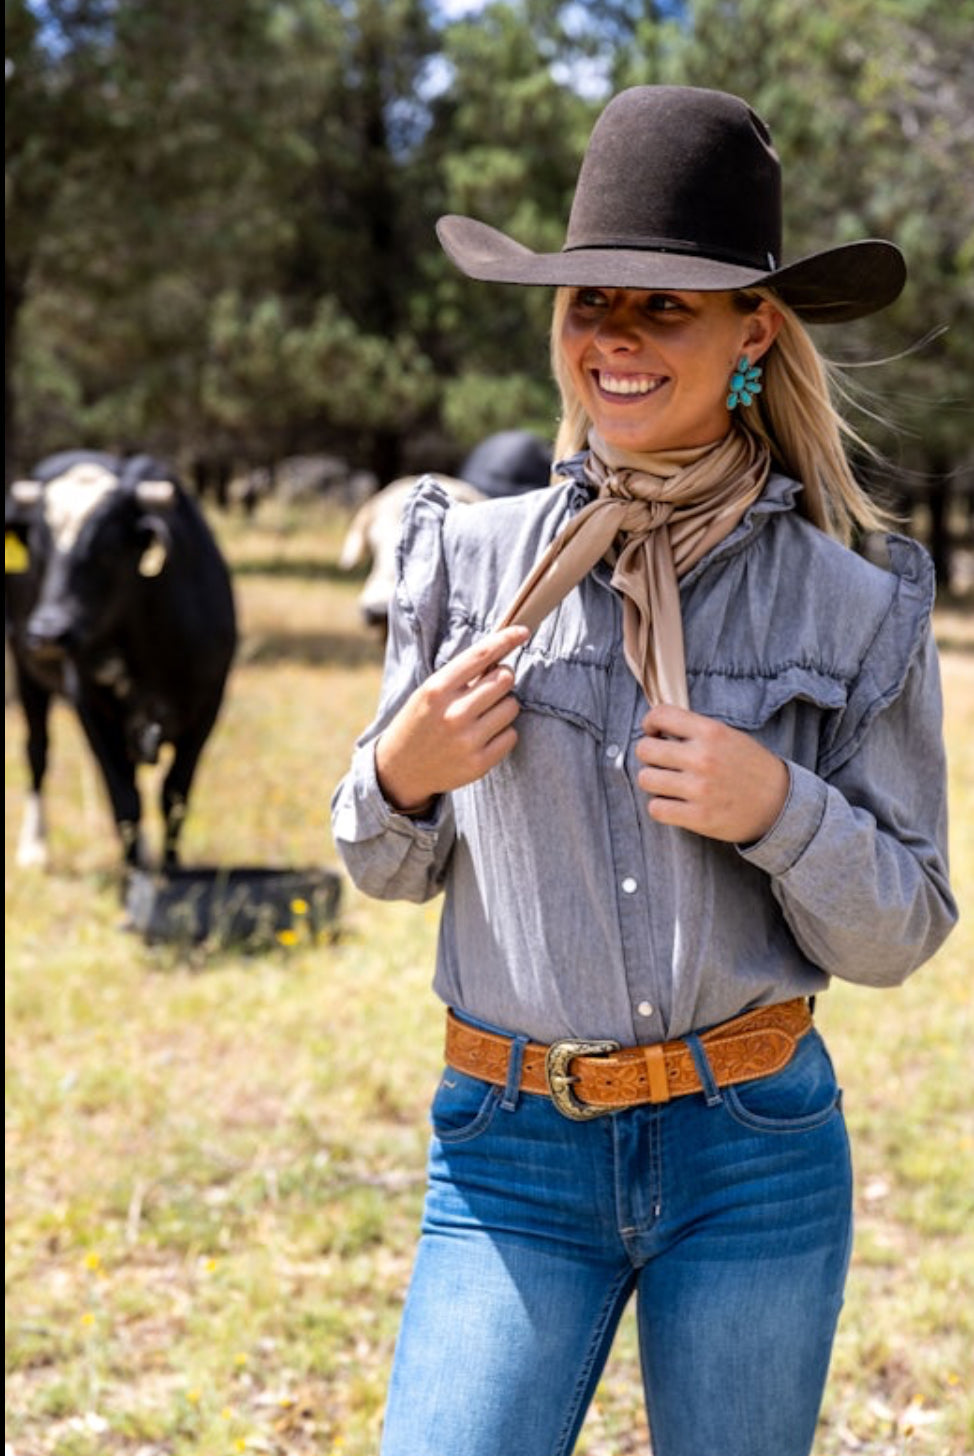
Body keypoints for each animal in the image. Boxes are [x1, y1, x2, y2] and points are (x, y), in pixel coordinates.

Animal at [5, 448, 237, 867]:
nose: (48, 632)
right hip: (24, 668)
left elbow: (175, 795)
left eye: (108, 550)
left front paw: (171, 868)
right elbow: (124, 798)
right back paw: (34, 847)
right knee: (37, 751)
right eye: (40, 552)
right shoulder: (91, 706)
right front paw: (136, 876)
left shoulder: (208, 704)